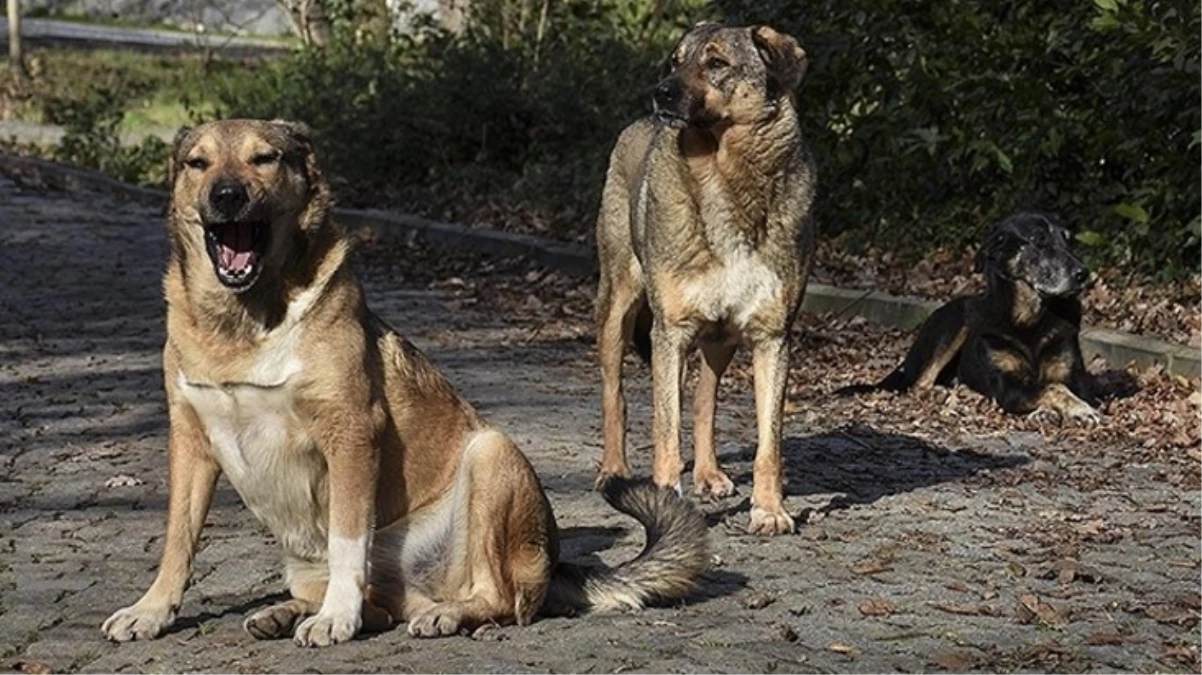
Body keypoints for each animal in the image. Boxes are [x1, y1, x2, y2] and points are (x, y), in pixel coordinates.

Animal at [100, 118, 711, 643]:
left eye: (264, 158)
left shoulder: (351, 433)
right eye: (197, 163)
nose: (226, 195)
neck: (244, 324)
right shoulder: (190, 440)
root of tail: (557, 561)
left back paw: (442, 614)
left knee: (499, 599)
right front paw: (151, 611)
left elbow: (348, 540)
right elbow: (178, 540)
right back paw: (287, 612)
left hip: (491, 455)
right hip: (305, 561)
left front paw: (335, 619)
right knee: (381, 606)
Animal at [593, 23, 817, 533]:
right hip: (619, 309)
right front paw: (664, 503)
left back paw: (710, 474)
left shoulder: (773, 337)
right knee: (617, 395)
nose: (660, 92)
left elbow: (768, 443)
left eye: (716, 63)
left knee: (703, 399)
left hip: (720, 339)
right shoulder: (670, 333)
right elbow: (665, 430)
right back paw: (614, 470)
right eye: (675, 61)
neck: (724, 175)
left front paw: (769, 509)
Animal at [841, 210, 1101, 422]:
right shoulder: (1007, 386)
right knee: (920, 384)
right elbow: (1053, 389)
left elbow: (1057, 386)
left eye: (1068, 240)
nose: (1083, 274)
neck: (1028, 318)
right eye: (1040, 240)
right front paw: (1078, 409)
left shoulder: (1075, 379)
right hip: (958, 322)